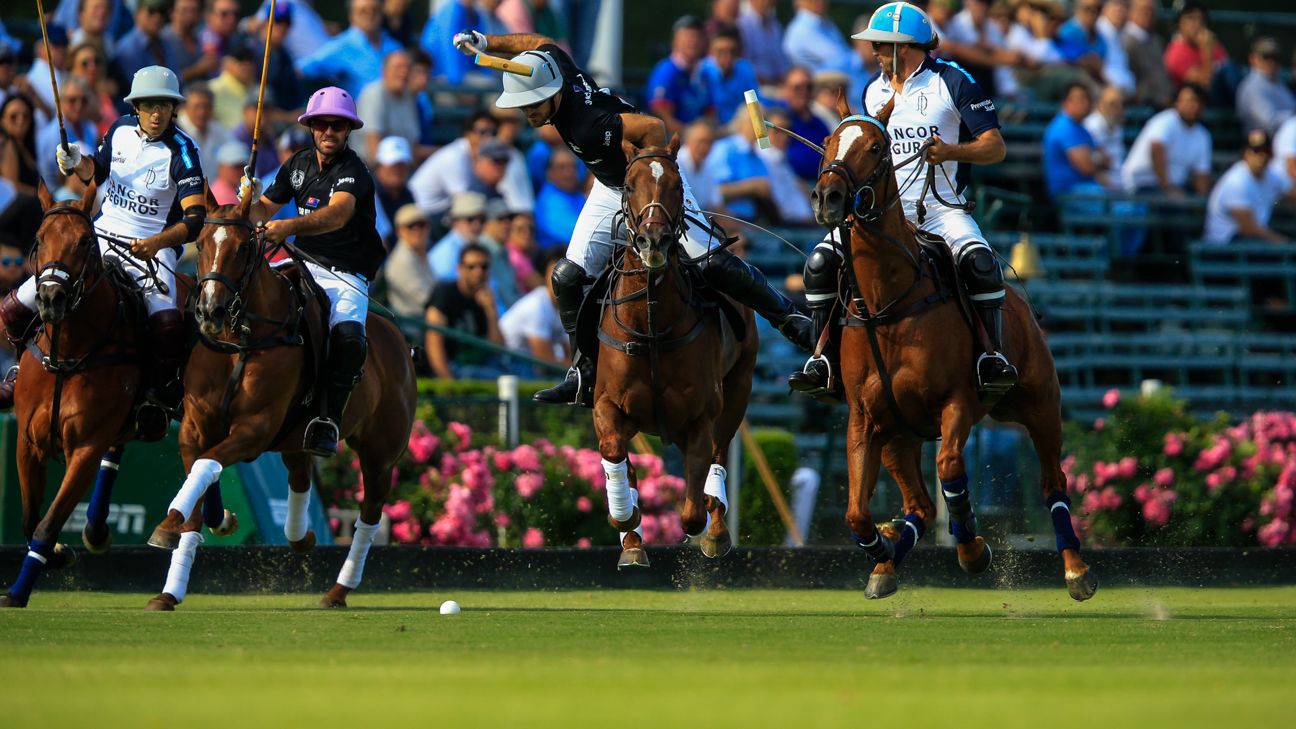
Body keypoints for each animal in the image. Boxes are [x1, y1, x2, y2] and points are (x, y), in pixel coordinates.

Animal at [143, 193, 414, 607]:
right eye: (200, 244)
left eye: (243, 248)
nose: (208, 312)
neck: (242, 337)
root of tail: (401, 341)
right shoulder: (195, 425)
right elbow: (197, 480)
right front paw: (169, 582)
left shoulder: (255, 428)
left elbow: (206, 465)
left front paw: (173, 527)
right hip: (296, 437)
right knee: (300, 477)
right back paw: (303, 537)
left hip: (380, 452)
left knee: (369, 514)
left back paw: (338, 589)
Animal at [590, 137, 756, 568]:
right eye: (628, 185)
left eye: (679, 187)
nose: (654, 242)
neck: (651, 325)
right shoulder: (606, 403)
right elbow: (613, 452)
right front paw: (626, 517)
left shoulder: (700, 415)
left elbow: (692, 512)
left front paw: (708, 523)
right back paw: (632, 537)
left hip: (739, 389)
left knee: (718, 454)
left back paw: (717, 528)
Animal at [808, 93, 1093, 599]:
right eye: (827, 142)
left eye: (877, 147)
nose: (828, 198)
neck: (886, 303)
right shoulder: (864, 418)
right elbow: (856, 513)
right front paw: (882, 547)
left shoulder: (955, 400)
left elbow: (951, 468)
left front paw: (972, 546)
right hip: (899, 433)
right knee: (919, 504)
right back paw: (887, 563)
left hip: (1041, 403)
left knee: (1052, 482)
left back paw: (1075, 569)